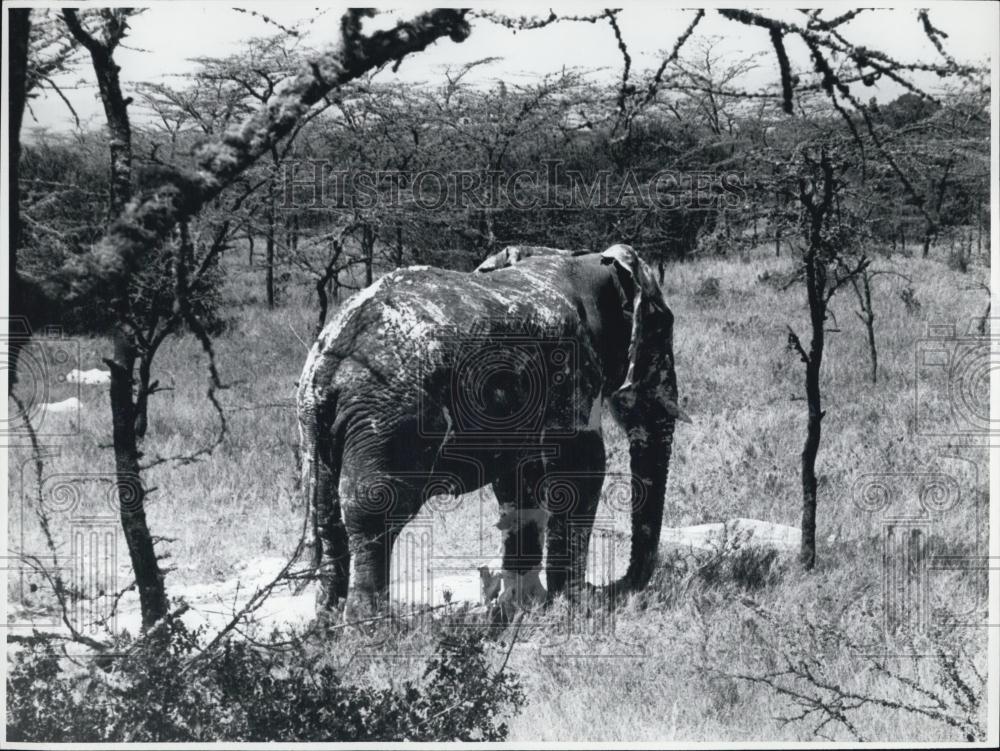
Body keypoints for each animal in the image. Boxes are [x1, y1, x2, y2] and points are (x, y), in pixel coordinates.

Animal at [296, 244, 688, 620]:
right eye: (663, 326)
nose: (613, 587)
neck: (586, 261)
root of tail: (329, 358)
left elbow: (519, 481)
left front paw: (523, 607)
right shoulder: (573, 366)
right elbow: (582, 468)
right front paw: (576, 606)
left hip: (319, 422)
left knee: (328, 513)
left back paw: (327, 623)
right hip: (390, 418)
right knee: (372, 509)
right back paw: (369, 627)